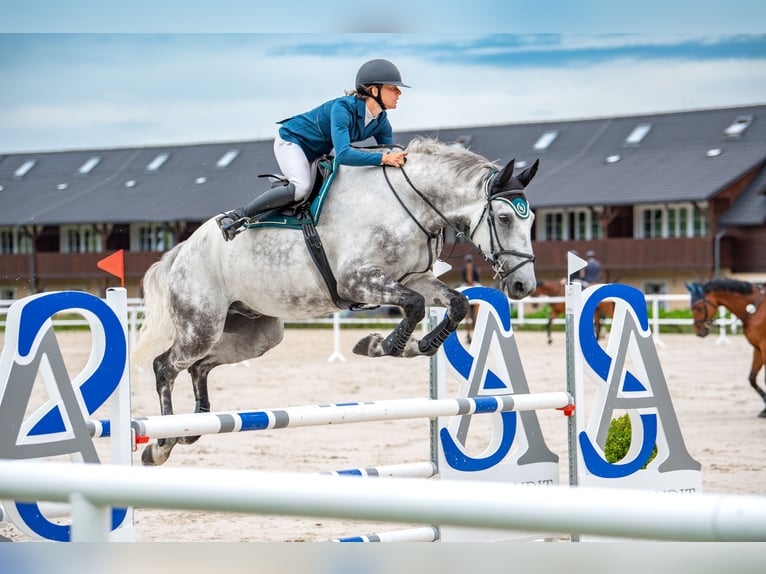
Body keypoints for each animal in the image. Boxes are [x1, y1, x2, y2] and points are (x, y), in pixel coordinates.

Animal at [132, 140, 540, 468]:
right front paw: (384, 345)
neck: (409, 205)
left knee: (200, 367)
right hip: (201, 325)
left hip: (255, 334)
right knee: (165, 366)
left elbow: (455, 304)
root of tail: (182, 250)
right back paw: (162, 444)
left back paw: (191, 429)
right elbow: (413, 306)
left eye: (532, 219)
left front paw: (421, 344)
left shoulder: (415, 279)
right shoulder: (359, 281)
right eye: (504, 218)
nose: (523, 286)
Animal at [688, 280, 766, 418]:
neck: (756, 310)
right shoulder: (758, 348)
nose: (698, 332)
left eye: (699, 308)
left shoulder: (764, 346)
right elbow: (752, 378)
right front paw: (764, 410)